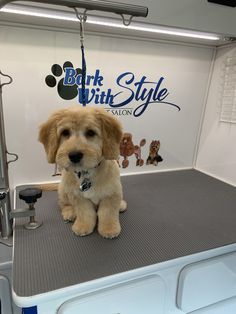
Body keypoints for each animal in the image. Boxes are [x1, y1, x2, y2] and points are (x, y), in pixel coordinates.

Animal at [39, 106, 127, 239]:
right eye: (65, 132)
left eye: (90, 132)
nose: (74, 155)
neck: (87, 172)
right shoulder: (77, 197)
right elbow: (85, 212)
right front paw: (83, 226)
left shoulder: (112, 194)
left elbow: (107, 212)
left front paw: (109, 228)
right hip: (64, 190)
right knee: (62, 204)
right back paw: (69, 212)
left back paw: (121, 205)